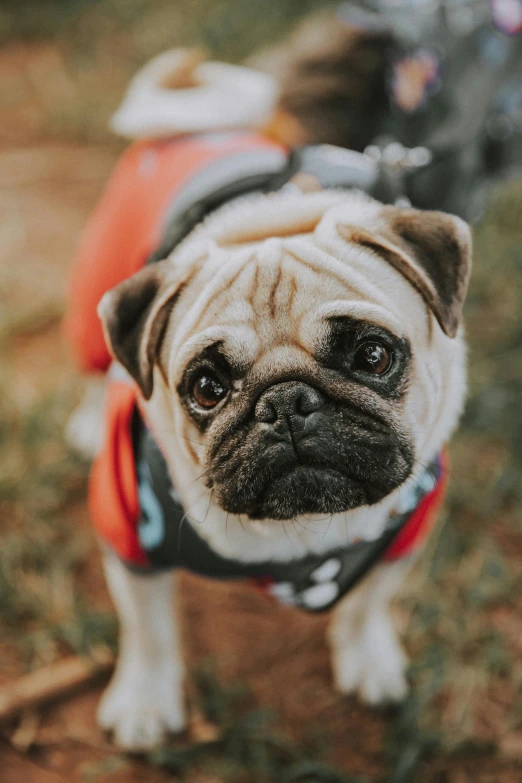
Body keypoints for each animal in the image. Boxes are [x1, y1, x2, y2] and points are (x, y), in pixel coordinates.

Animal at [92, 187, 468, 752]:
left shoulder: (402, 534)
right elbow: (148, 630)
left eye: (373, 356)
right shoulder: (133, 535)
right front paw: (144, 703)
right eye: (207, 388)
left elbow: (368, 604)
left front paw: (369, 659)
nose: (286, 402)